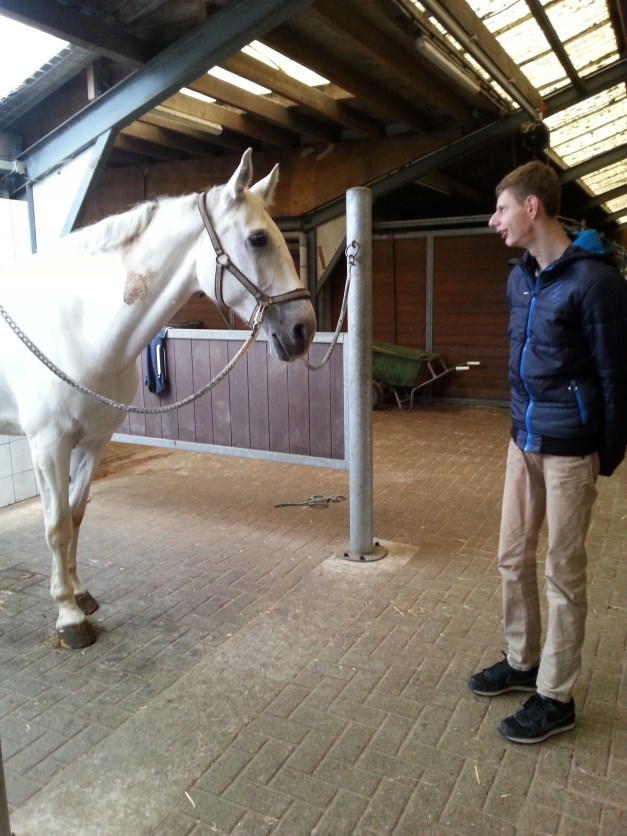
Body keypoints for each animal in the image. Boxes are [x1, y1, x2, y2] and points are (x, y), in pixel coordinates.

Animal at [0, 149, 314, 648]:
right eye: (258, 239)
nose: (304, 329)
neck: (78, 325)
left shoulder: (93, 441)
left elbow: (77, 515)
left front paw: (80, 594)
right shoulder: (48, 445)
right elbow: (56, 526)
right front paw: (68, 617)